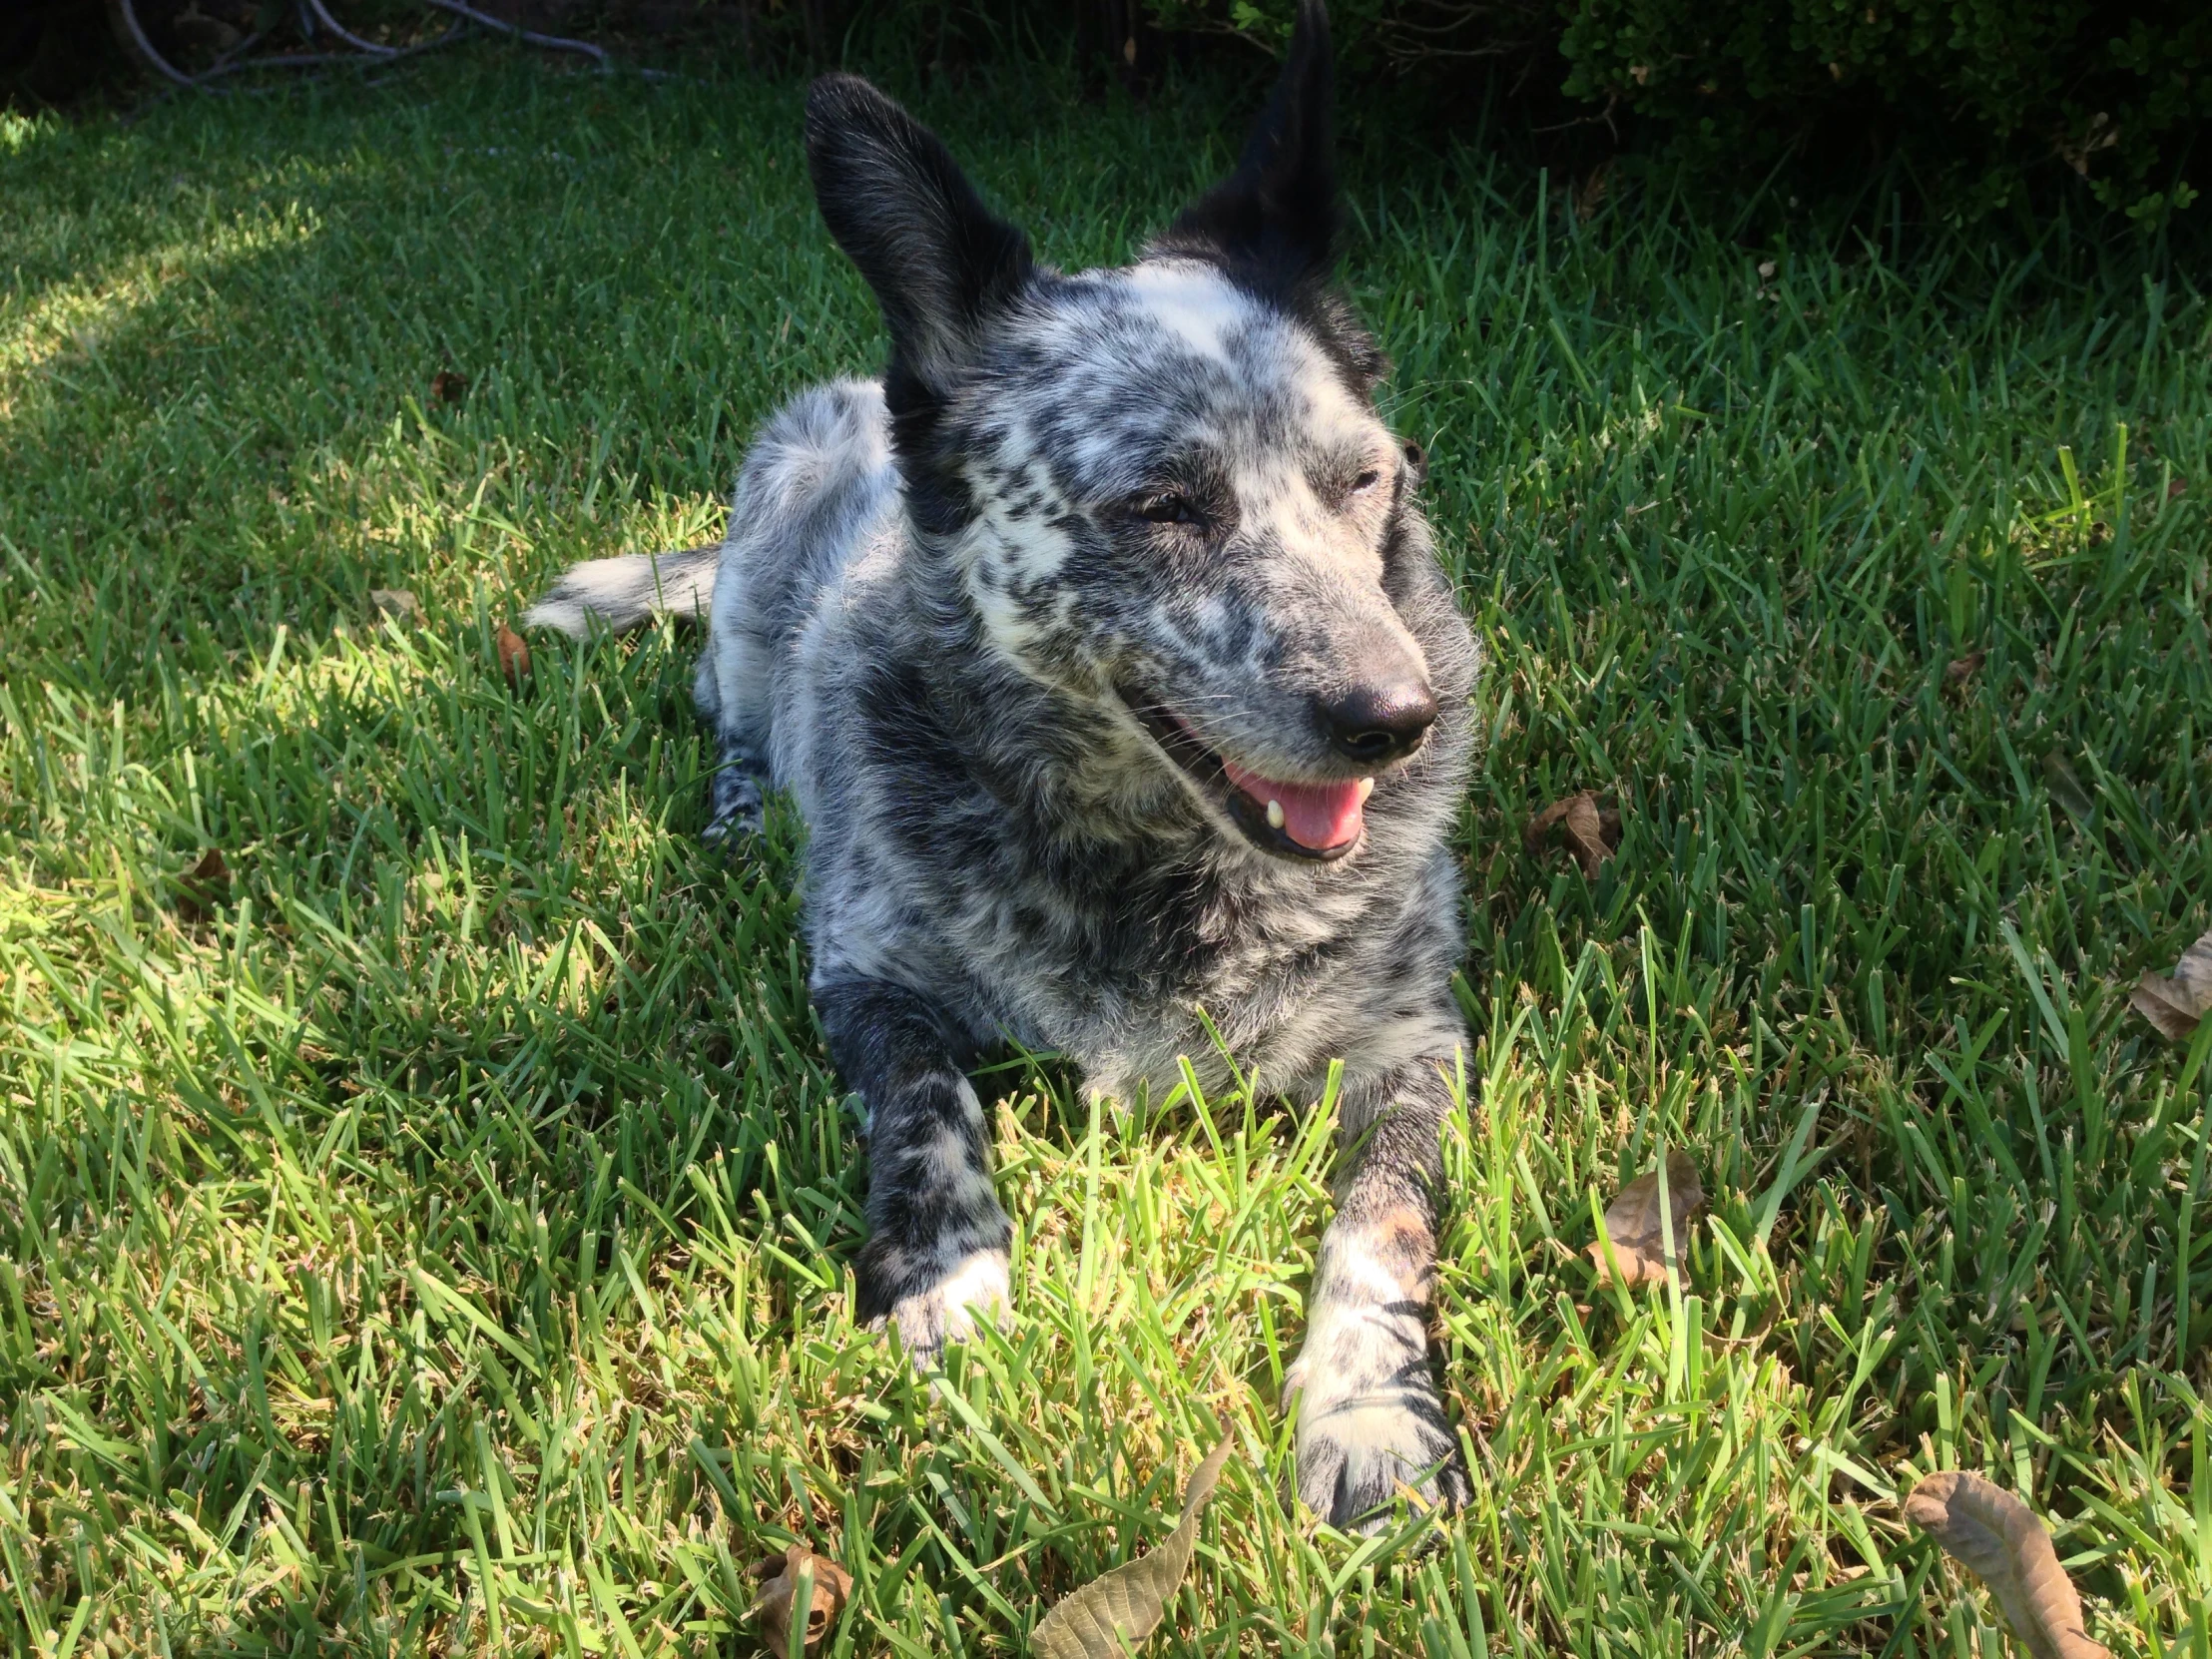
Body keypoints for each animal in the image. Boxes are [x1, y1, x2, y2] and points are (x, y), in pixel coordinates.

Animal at [524, 0, 1477, 1530]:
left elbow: (1381, 1223)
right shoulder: (866, 976)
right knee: (724, 707)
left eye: (1365, 480)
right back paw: (740, 804)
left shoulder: (1415, 1040)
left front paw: (1371, 1407)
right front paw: (949, 1287)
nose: (1402, 719)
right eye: (1163, 504)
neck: (1154, 868)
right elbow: (930, 1110)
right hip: (757, 572)